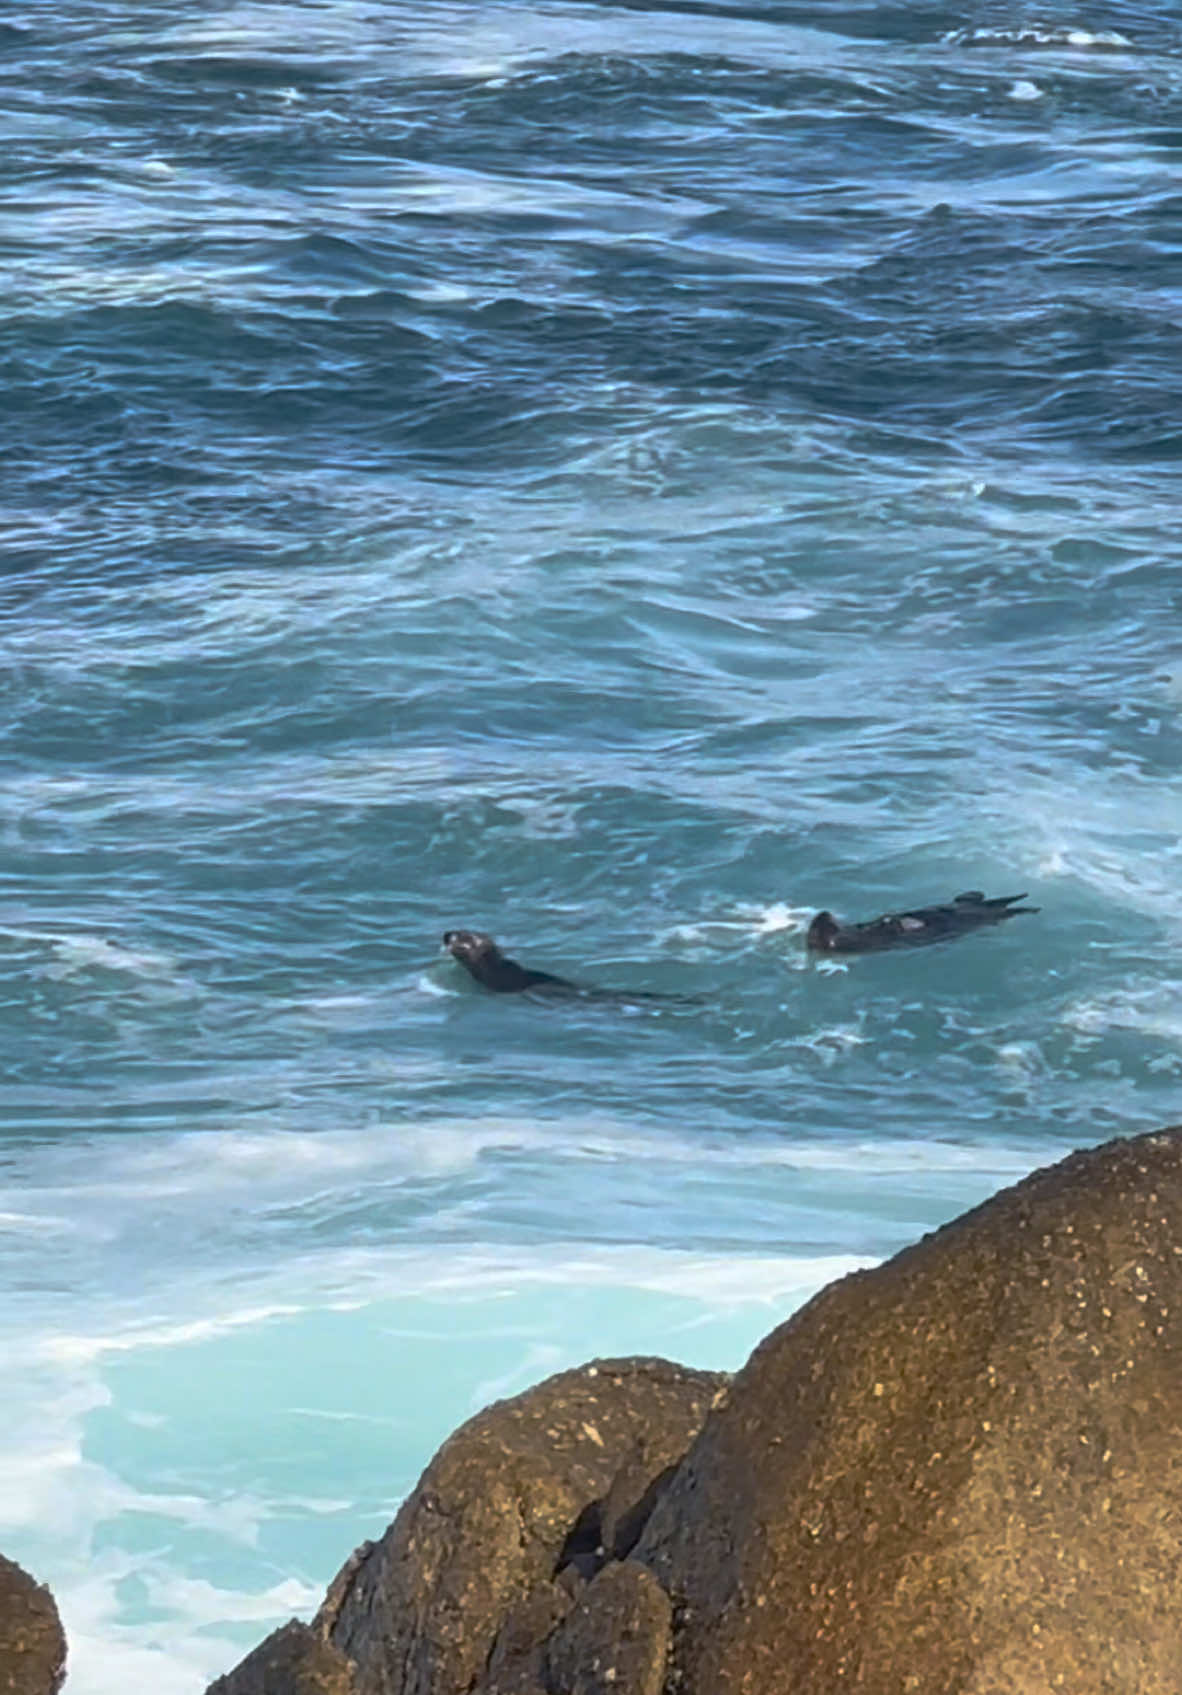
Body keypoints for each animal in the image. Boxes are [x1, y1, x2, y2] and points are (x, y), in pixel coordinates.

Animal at [806, 890, 1039, 955]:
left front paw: (887, 917)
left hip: (976, 905)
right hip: (991, 913)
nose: (824, 913)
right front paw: (894, 921)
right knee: (1008, 907)